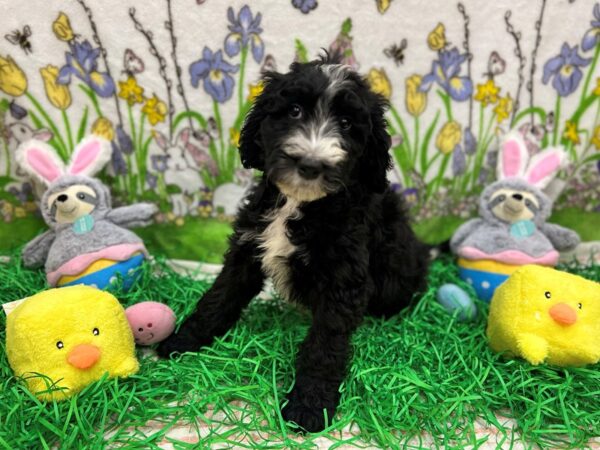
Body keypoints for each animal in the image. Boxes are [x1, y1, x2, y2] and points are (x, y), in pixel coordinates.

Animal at [159, 56, 428, 432]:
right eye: (295, 110)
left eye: (347, 124)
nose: (311, 164)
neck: (299, 204)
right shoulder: (248, 247)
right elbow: (219, 297)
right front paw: (182, 341)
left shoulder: (343, 280)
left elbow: (324, 345)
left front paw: (308, 407)